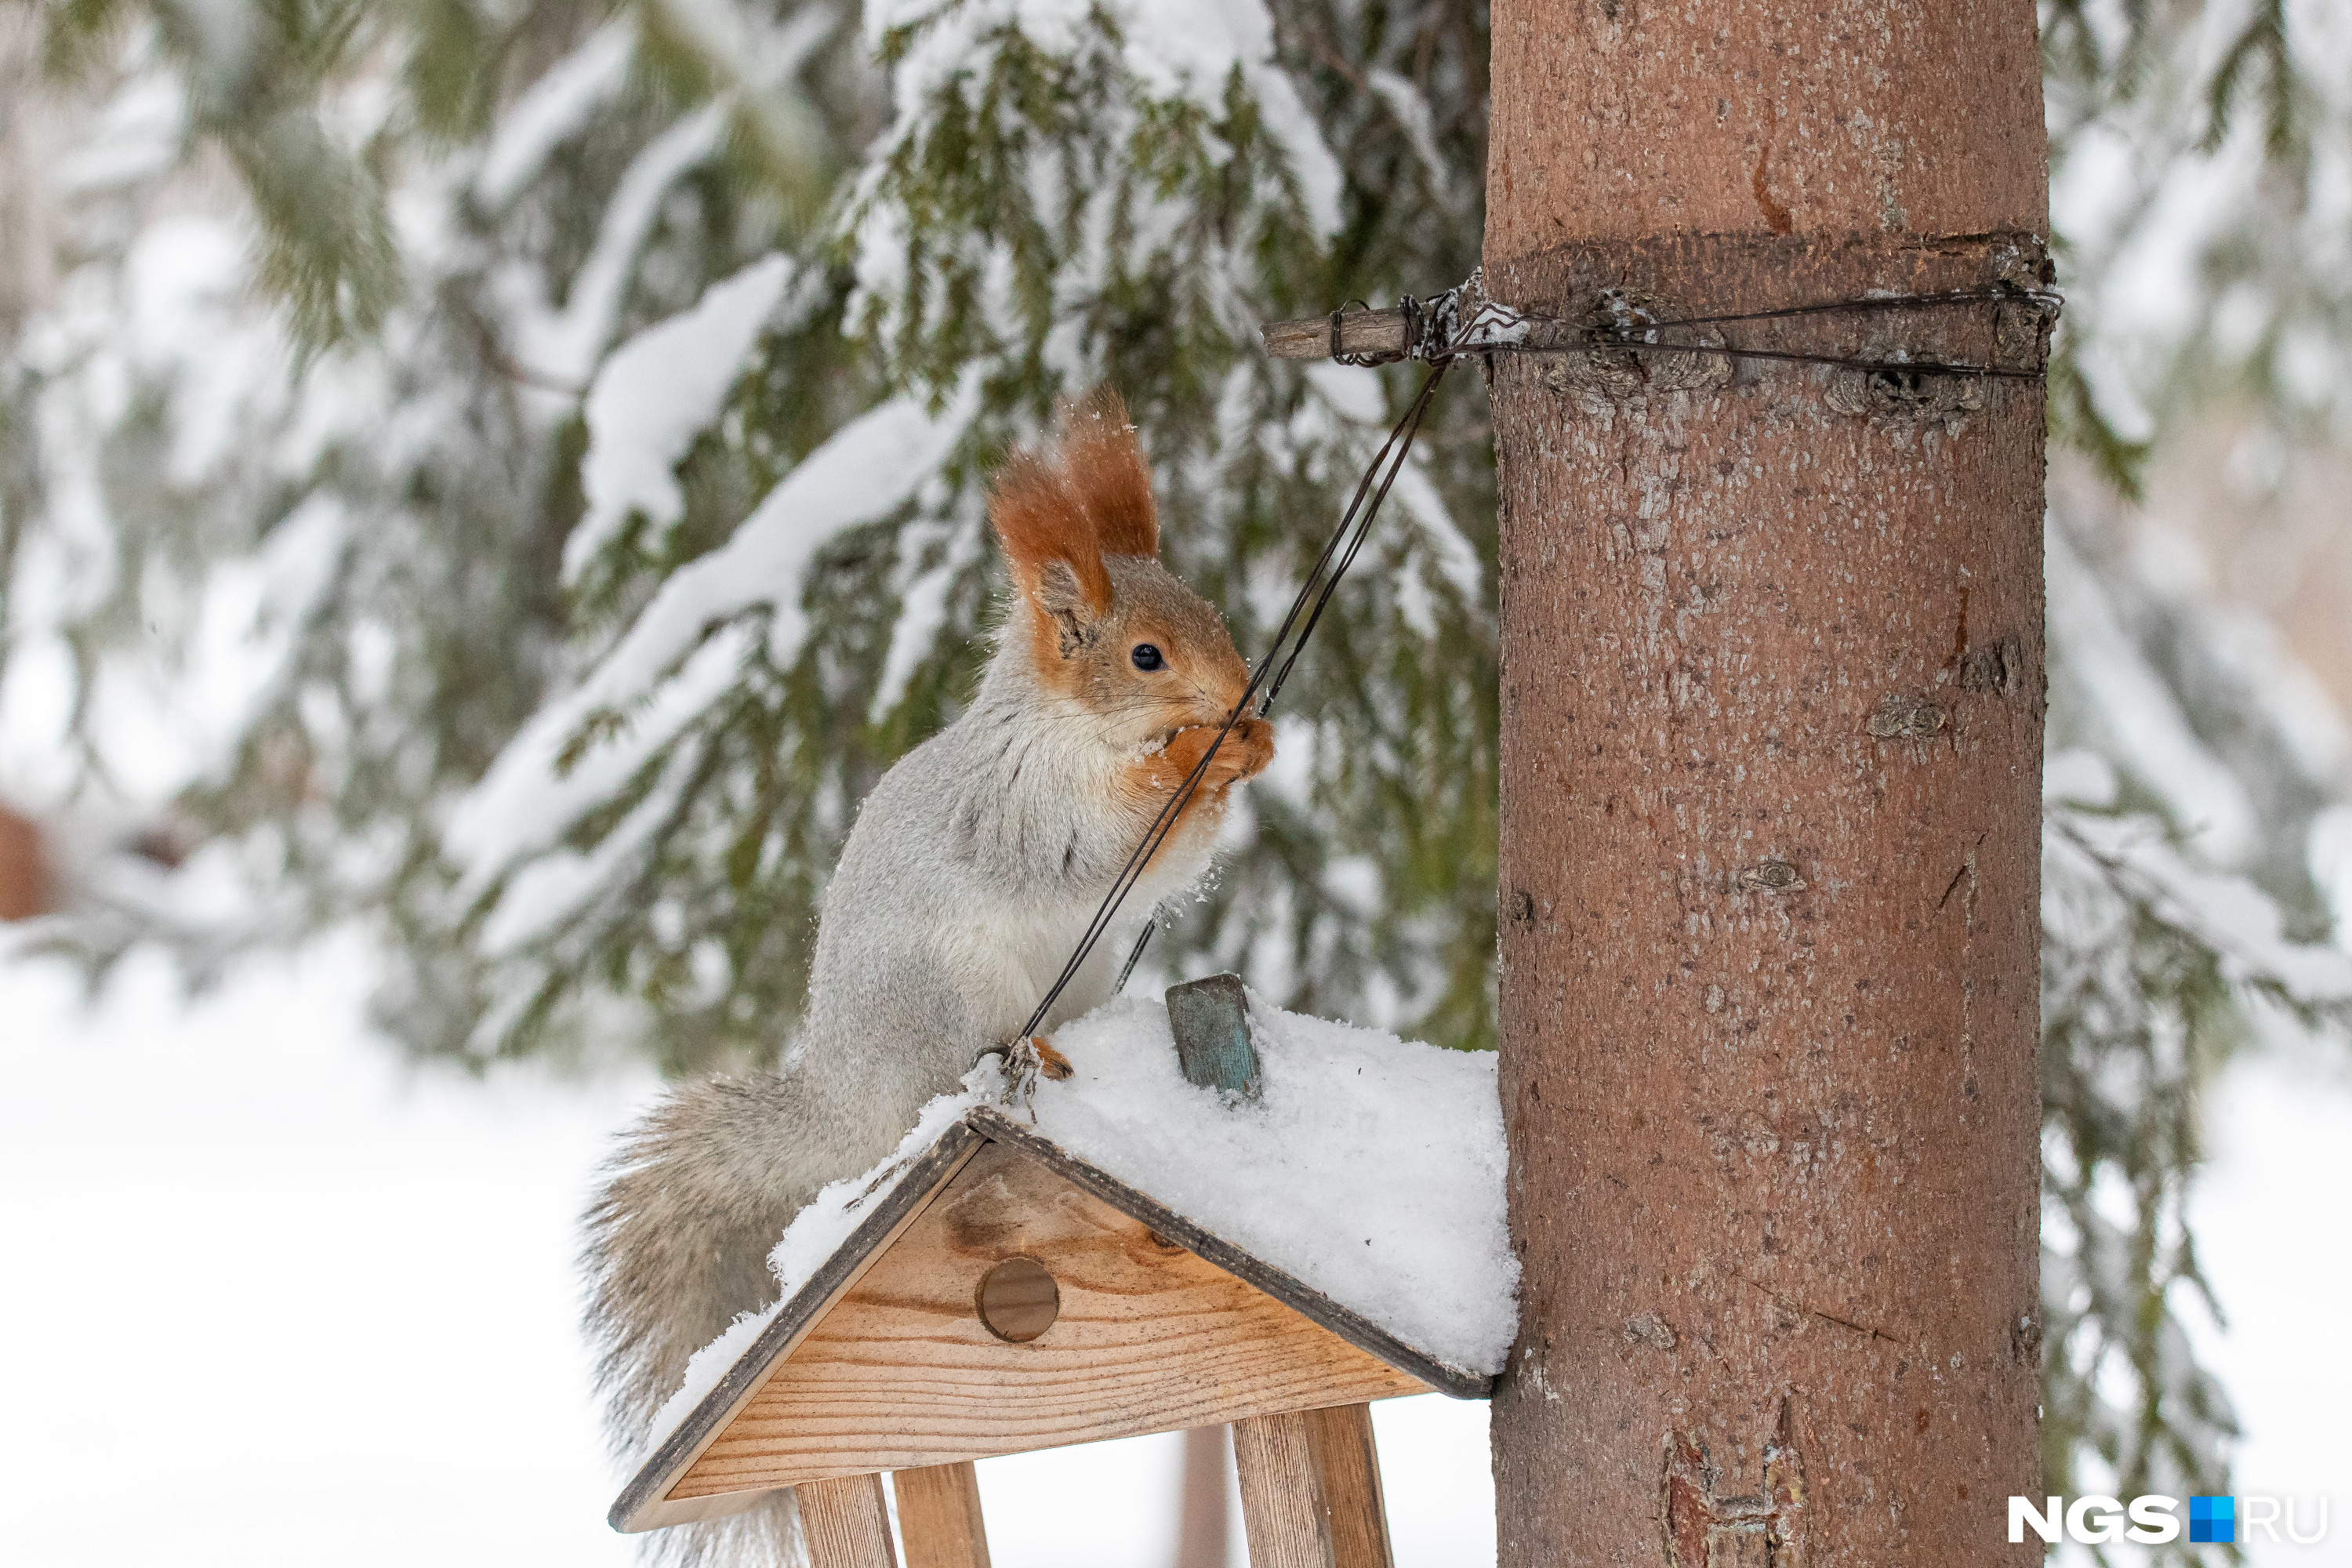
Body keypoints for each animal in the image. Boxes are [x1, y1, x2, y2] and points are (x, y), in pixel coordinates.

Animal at [588, 390, 1279, 1561]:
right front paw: (1200, 755)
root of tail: (851, 1102)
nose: (1236, 689)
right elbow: (1109, 839)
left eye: (1212, 612)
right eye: (1146, 655)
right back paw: (1023, 1052)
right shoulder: (1024, 811)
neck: (1067, 725)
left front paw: (1254, 741)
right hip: (943, 992)